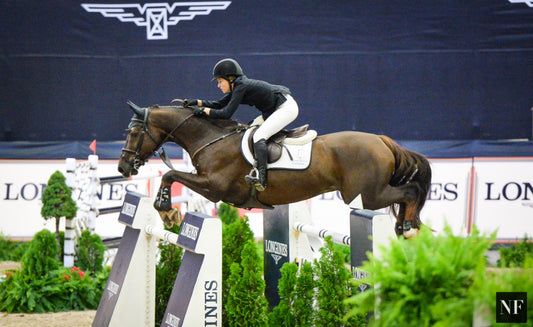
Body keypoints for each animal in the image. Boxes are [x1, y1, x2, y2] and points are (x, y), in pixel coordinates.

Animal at [118, 102, 430, 238]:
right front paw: (168, 213)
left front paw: (167, 212)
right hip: (368, 193)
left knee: (410, 192)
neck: (211, 138)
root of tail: (382, 140)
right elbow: (171, 176)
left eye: (133, 133)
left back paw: (408, 226)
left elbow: (170, 175)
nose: (123, 167)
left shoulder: (215, 187)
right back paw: (404, 227)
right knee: (407, 195)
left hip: (366, 195)